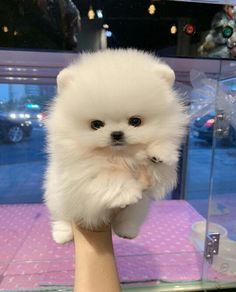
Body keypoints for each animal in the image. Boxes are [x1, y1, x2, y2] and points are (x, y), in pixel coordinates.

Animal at [44, 49, 188, 243]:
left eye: (135, 121)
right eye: (96, 124)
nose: (117, 134)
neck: (120, 155)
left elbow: (160, 166)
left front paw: (159, 152)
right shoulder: (80, 174)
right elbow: (109, 176)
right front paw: (127, 192)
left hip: (137, 209)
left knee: (128, 218)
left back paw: (127, 230)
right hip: (57, 198)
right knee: (62, 217)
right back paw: (62, 233)